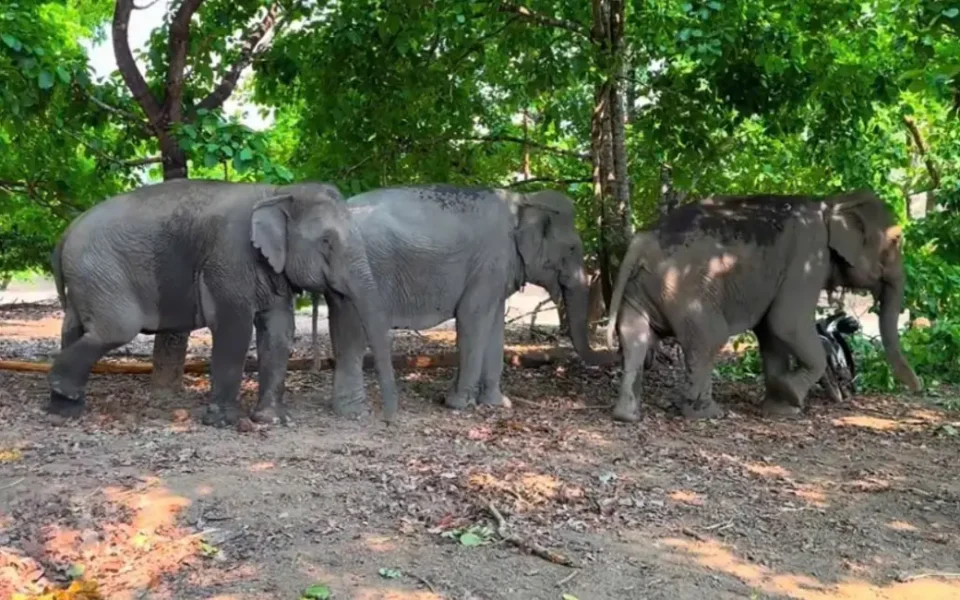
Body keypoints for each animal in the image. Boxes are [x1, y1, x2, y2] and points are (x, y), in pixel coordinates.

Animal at [47, 179, 399, 426]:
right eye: (326, 242)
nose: (388, 420)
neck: (277, 192)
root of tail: (65, 233)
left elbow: (279, 330)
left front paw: (273, 421)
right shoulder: (229, 258)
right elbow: (234, 327)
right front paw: (224, 421)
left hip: (88, 279)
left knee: (74, 327)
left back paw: (64, 409)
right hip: (101, 272)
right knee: (115, 329)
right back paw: (63, 390)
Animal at [317, 184, 612, 415]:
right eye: (572, 248)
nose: (611, 349)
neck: (525, 200)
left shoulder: (496, 271)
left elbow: (495, 326)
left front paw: (497, 403)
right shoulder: (492, 261)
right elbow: (472, 317)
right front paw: (460, 404)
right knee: (354, 338)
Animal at [605, 189, 921, 422]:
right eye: (897, 240)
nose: (918, 387)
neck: (830, 203)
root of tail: (642, 240)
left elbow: (771, 333)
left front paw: (780, 409)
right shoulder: (808, 256)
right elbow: (786, 322)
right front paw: (790, 394)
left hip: (639, 288)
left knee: (635, 337)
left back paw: (627, 416)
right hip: (685, 290)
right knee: (709, 338)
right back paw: (705, 413)